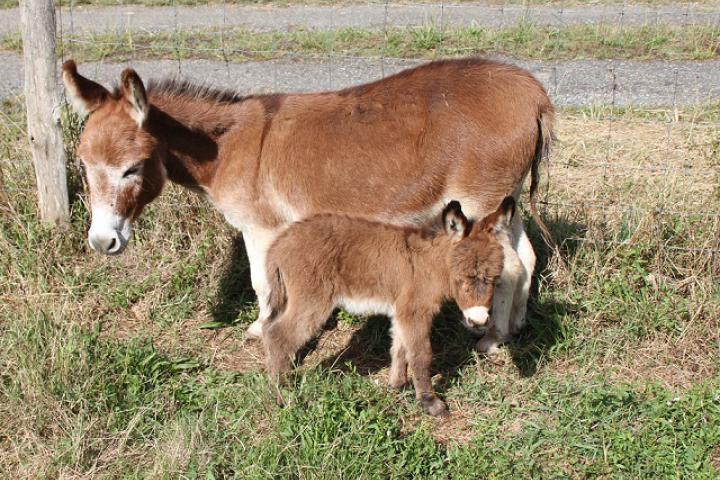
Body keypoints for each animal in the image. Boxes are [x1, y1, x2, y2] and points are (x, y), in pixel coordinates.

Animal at [262, 197, 516, 414]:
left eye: (494, 279)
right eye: (461, 278)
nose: (479, 321)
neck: (430, 264)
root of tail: (279, 244)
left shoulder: (402, 310)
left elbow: (400, 347)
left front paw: (397, 384)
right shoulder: (415, 311)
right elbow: (421, 354)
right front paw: (430, 402)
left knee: (269, 330)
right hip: (313, 301)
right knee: (278, 336)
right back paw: (285, 395)